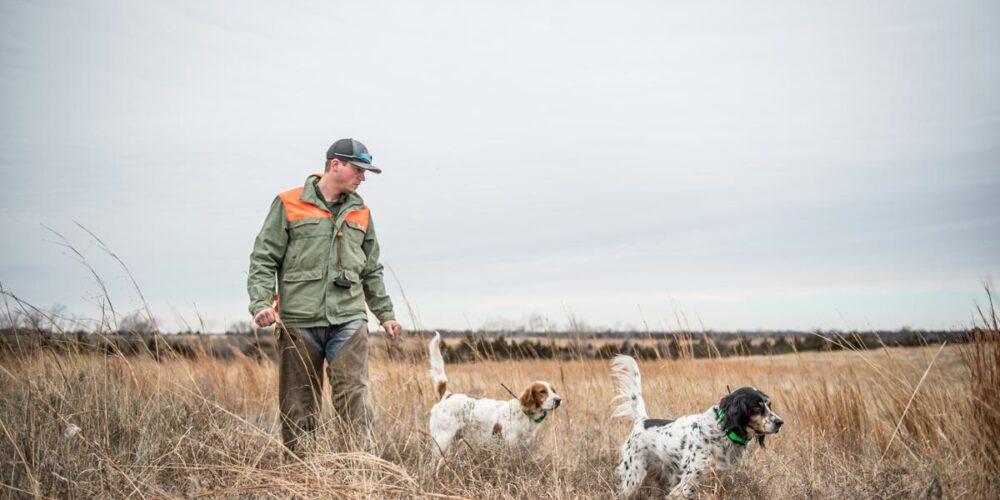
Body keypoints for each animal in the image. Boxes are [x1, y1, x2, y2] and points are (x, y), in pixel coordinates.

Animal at [426, 332, 560, 468]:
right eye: (542, 392)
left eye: (554, 390)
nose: (558, 400)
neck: (525, 415)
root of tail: (447, 395)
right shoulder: (507, 450)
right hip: (442, 440)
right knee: (431, 463)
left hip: (454, 443)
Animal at [608, 354, 780, 498]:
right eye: (757, 407)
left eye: (769, 405)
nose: (780, 422)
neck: (722, 431)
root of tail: (643, 420)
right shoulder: (686, 485)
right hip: (632, 477)